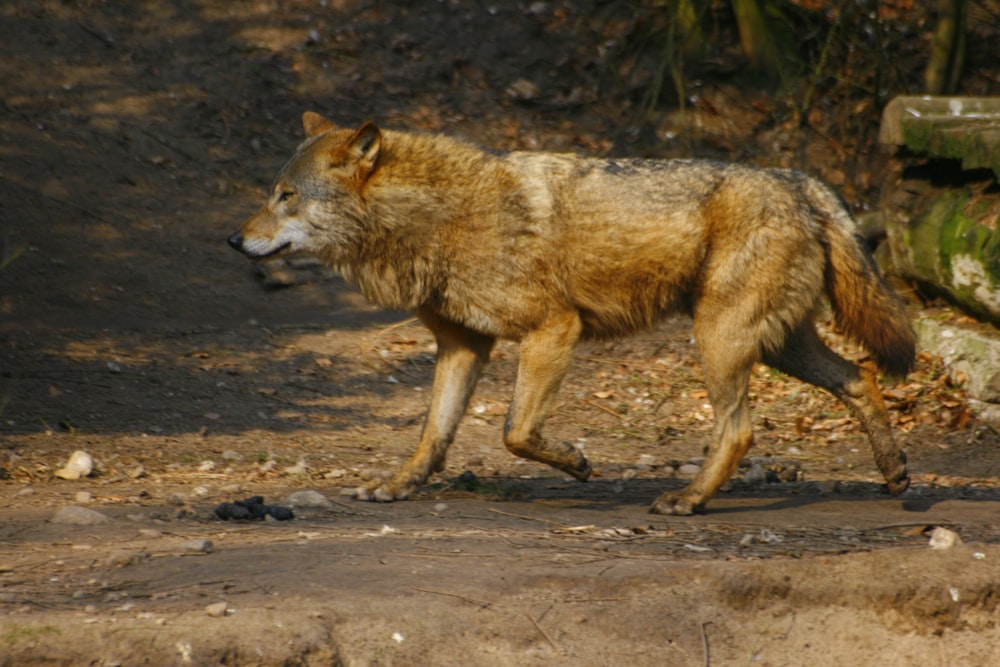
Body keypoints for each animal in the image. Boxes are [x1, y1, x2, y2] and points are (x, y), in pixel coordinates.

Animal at [229, 112, 916, 516]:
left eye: (285, 197)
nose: (234, 240)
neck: (436, 218)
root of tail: (802, 181)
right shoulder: (462, 347)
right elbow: (433, 433)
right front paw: (399, 486)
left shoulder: (554, 329)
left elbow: (515, 431)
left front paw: (578, 463)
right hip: (776, 346)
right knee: (860, 376)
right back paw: (895, 477)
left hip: (720, 341)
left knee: (741, 430)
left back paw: (688, 499)